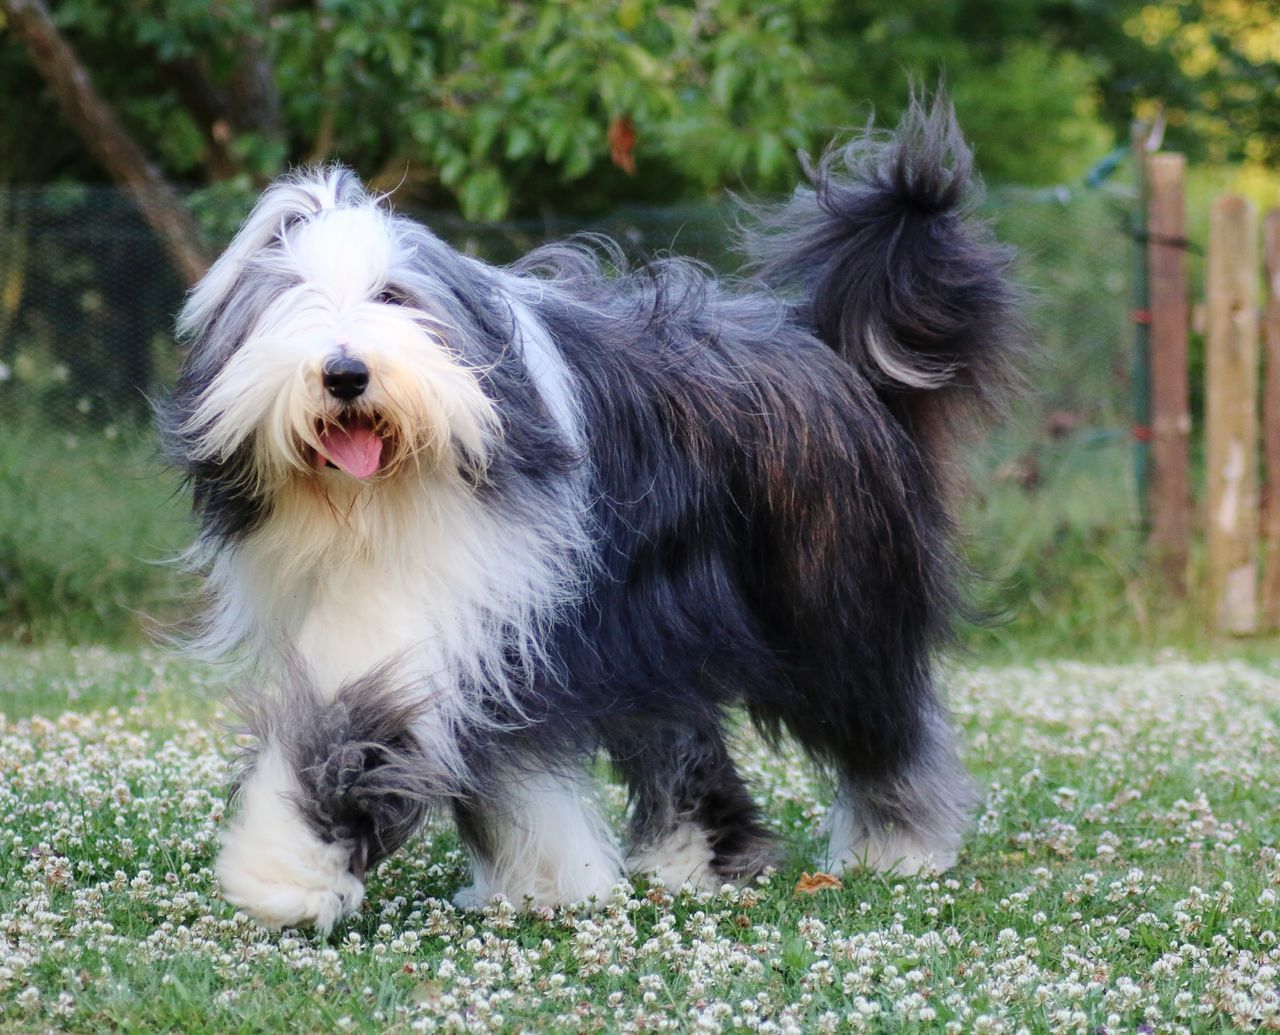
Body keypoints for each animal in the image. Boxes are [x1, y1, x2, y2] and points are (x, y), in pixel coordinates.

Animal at [160, 97, 1018, 931]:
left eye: (392, 296)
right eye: (290, 303)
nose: (344, 373)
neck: (381, 502)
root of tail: (825, 347)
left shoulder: (463, 600)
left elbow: (359, 723)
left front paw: (284, 871)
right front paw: (540, 879)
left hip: (826, 601)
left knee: (879, 717)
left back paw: (898, 844)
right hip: (664, 621)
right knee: (680, 731)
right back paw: (692, 858)